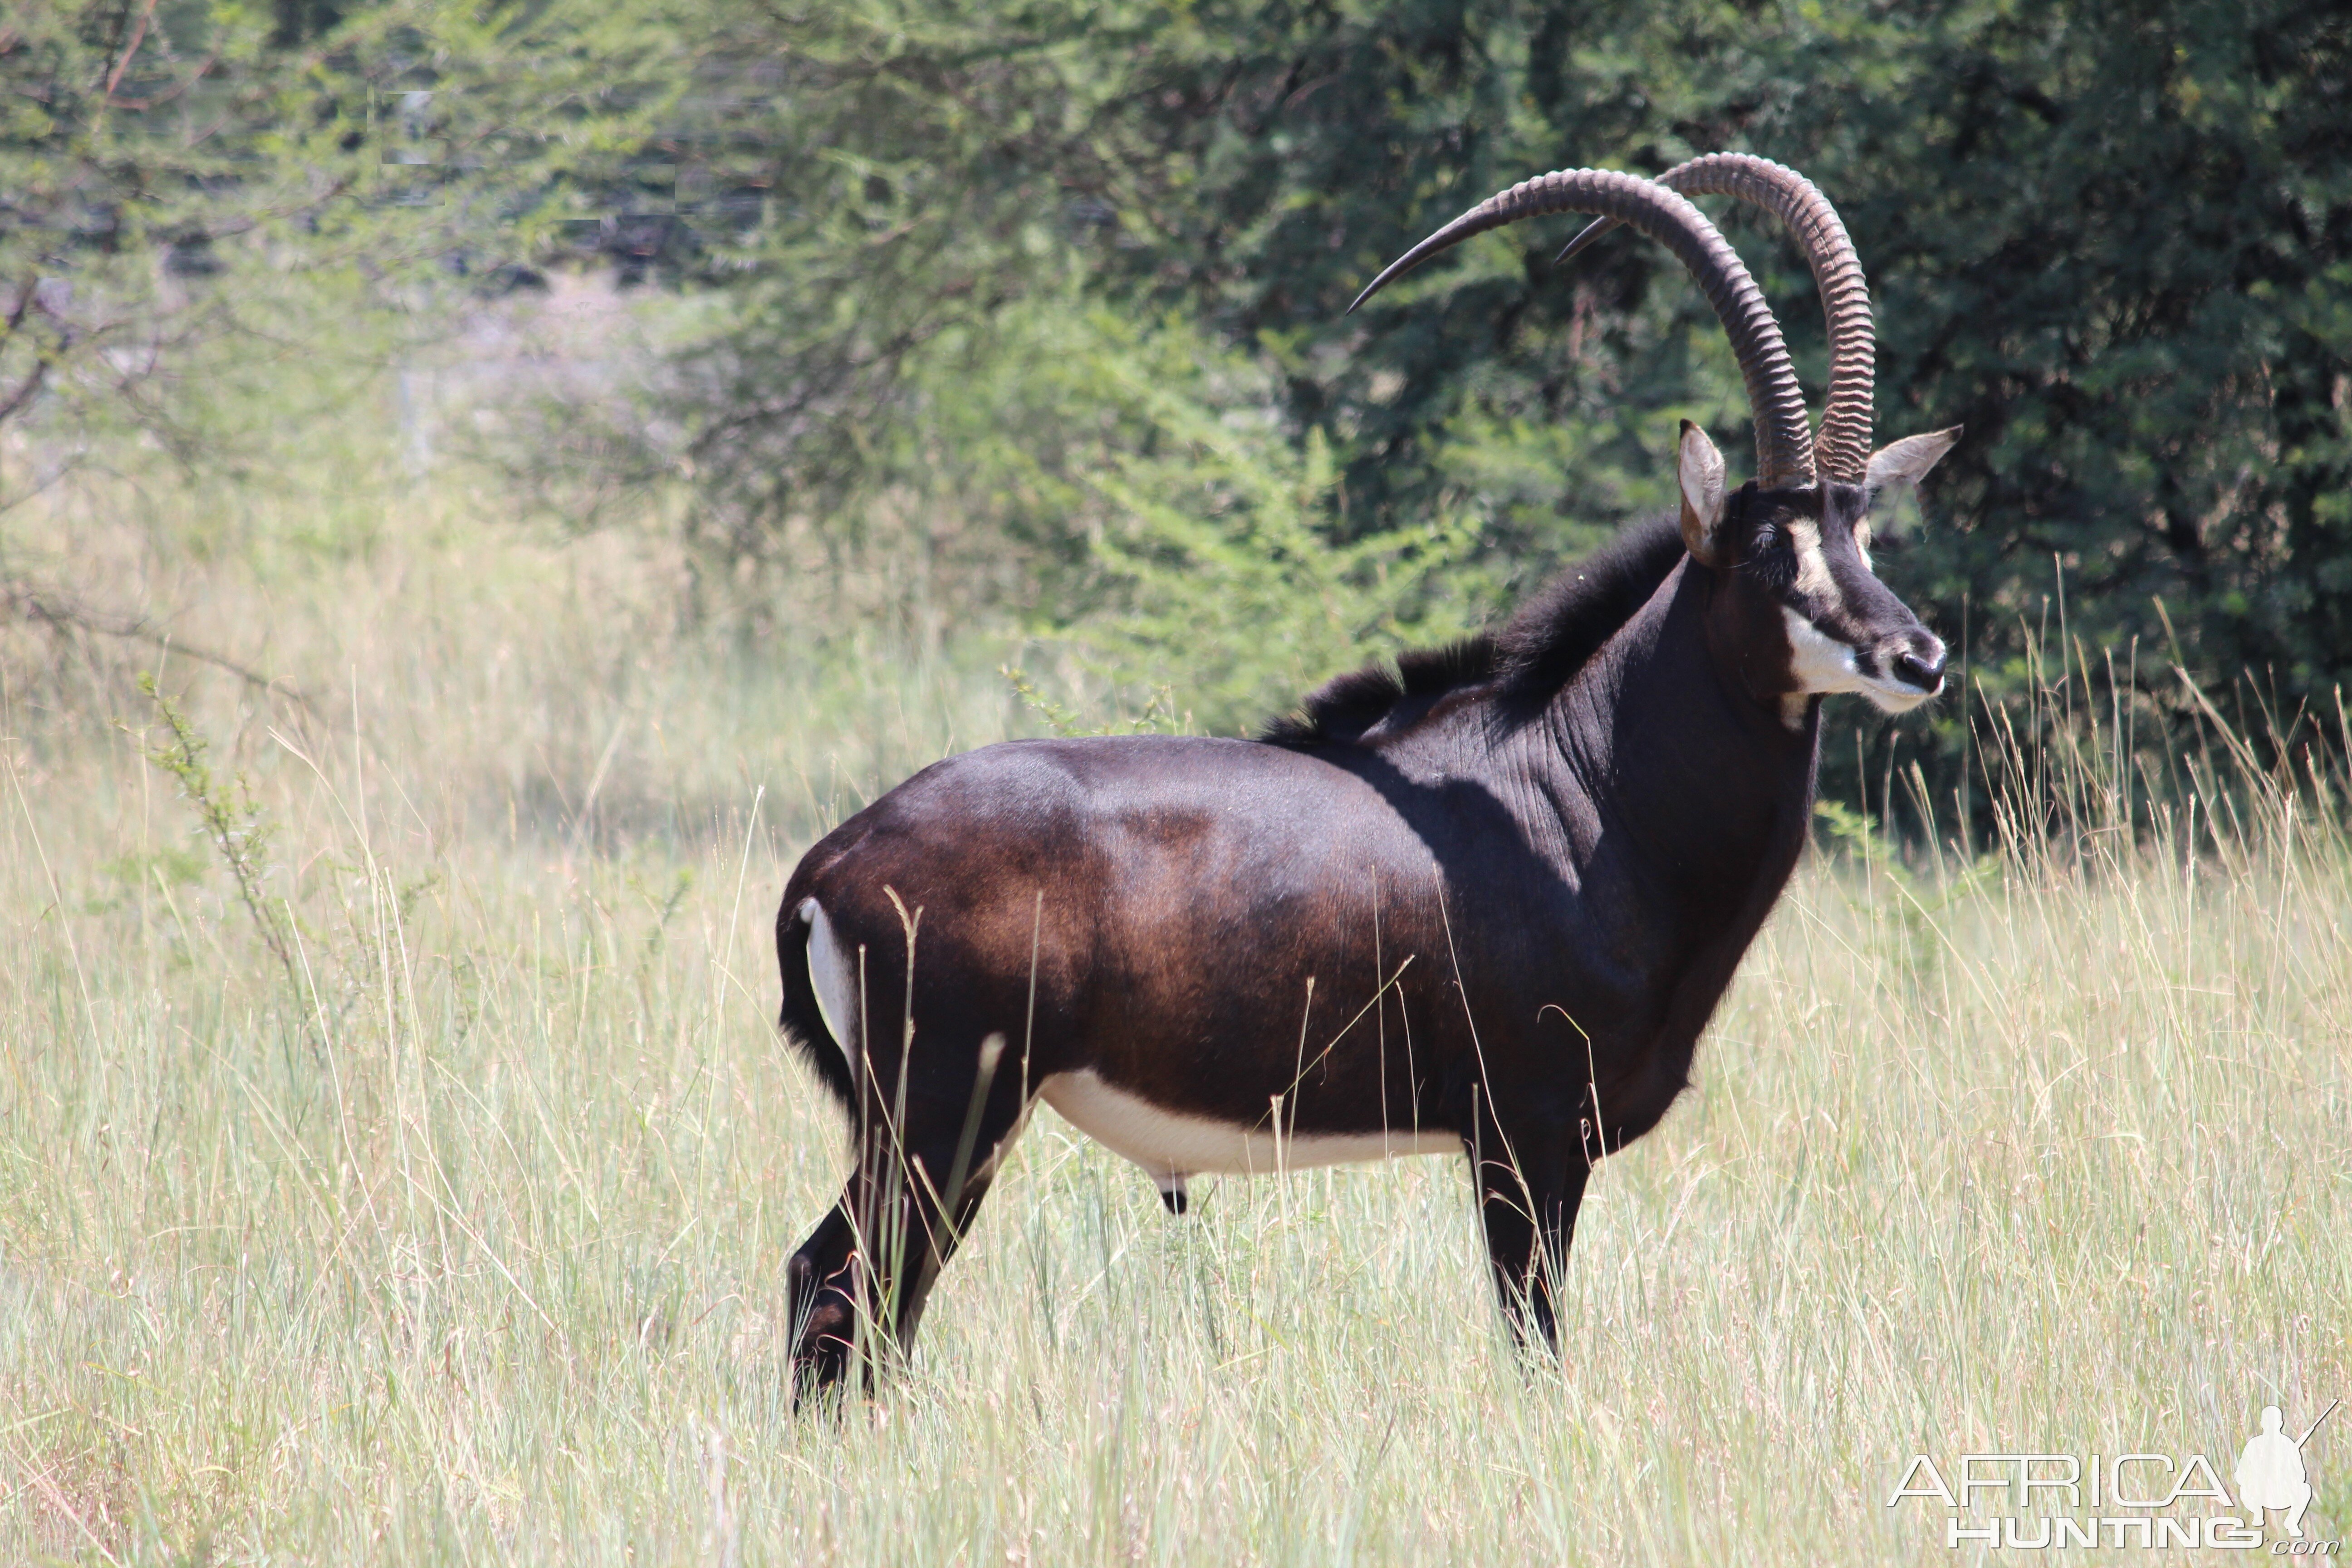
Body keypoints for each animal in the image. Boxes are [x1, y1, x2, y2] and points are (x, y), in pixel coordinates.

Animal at [781, 152, 1957, 1392]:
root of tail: (832, 862)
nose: (1915, 658)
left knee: (850, 1294)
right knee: (845, 1291)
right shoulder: (1523, 1133)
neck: (1582, 786)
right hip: (942, 1119)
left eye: (1864, 532)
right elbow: (1534, 1339)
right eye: (1770, 546)